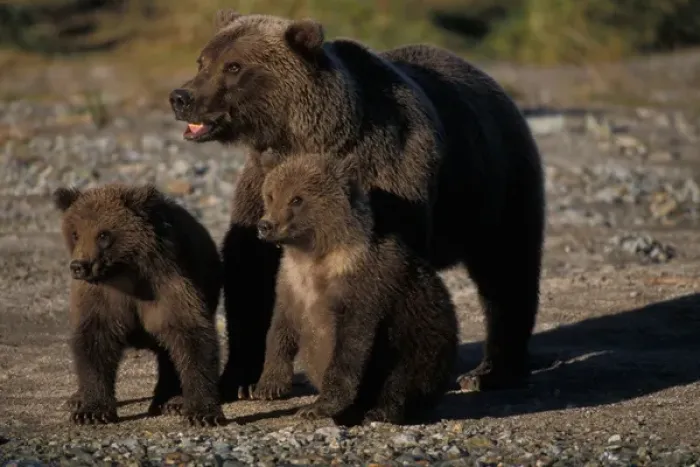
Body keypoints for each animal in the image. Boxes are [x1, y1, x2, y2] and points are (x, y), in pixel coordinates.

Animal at [53, 183, 225, 427]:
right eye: (75, 233)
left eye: (103, 234)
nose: (79, 266)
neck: (124, 271)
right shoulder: (102, 297)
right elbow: (94, 341)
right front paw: (91, 410)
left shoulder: (166, 283)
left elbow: (190, 335)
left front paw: (202, 413)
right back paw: (76, 398)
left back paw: (170, 400)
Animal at [249, 150, 458, 426]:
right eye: (271, 194)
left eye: (297, 199)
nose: (265, 225)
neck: (314, 255)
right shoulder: (291, 281)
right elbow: (280, 327)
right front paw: (267, 386)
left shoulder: (363, 287)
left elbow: (350, 346)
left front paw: (316, 407)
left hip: (425, 339)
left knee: (406, 379)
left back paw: (382, 411)